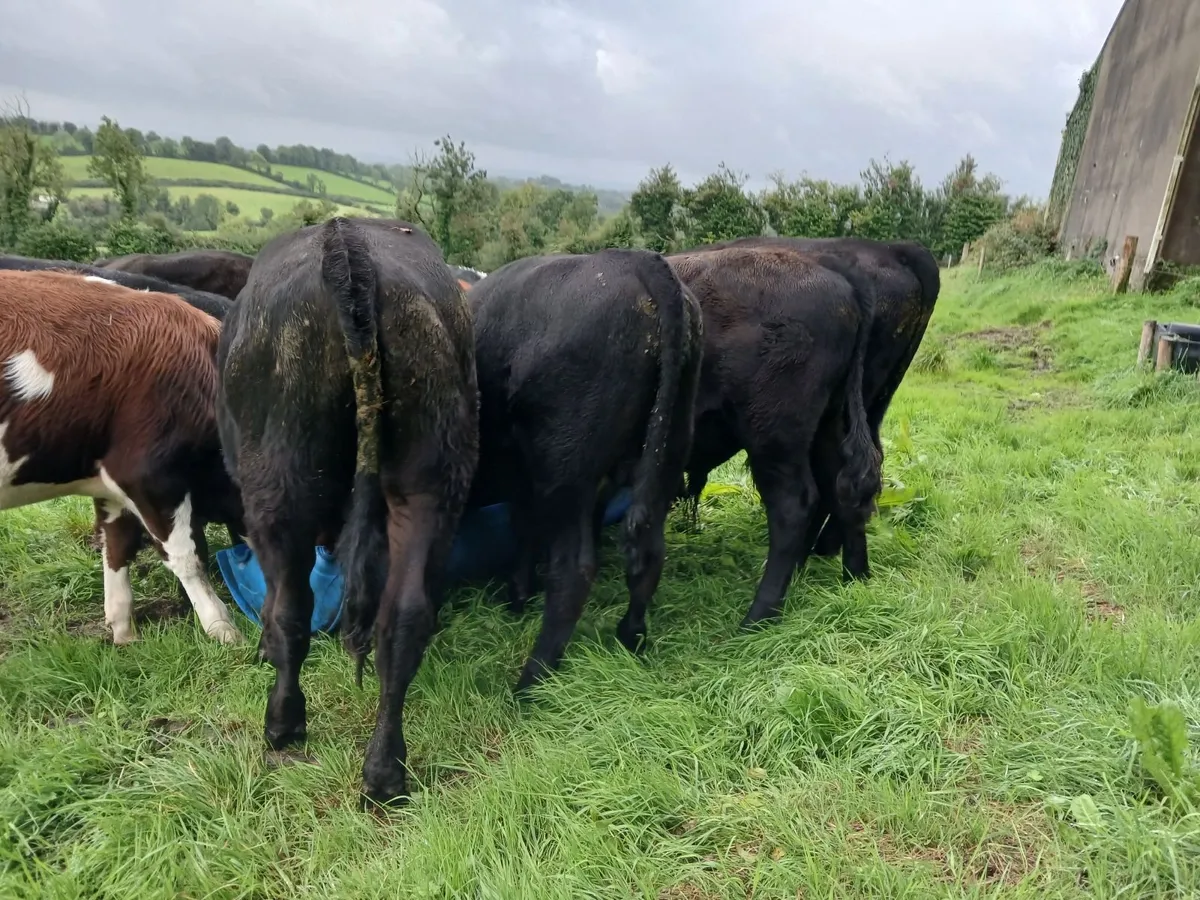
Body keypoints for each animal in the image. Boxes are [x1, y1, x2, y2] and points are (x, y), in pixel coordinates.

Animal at [0, 269, 245, 645]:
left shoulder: (110, 485)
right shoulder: (146, 473)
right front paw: (223, 630)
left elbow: (115, 546)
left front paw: (123, 632)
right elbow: (187, 557)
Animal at [216, 217, 479, 807]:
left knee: (292, 608)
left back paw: (283, 723)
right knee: (402, 618)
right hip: (430, 485)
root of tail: (346, 240)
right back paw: (384, 772)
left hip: (278, 487)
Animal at [466, 248, 703, 693]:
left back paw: (530, 684)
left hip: (565, 471)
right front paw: (517, 596)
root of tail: (633, 258)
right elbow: (523, 529)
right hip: (668, 450)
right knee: (649, 552)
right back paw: (630, 637)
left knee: (573, 572)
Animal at [665, 244, 881, 626]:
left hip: (773, 439)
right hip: (826, 425)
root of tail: (832, 269)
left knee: (792, 506)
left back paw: (757, 617)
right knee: (842, 490)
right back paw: (855, 580)